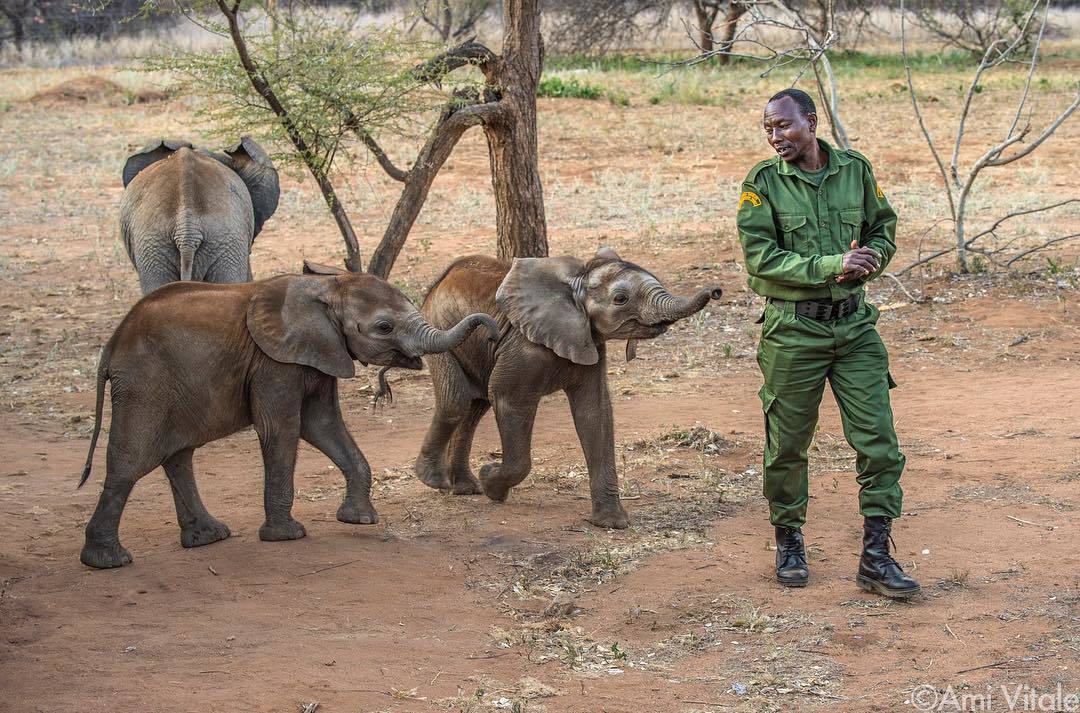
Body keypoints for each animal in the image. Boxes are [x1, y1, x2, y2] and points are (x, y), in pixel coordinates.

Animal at [78, 270, 498, 570]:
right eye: (384, 327)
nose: (494, 332)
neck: (327, 286)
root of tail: (110, 347)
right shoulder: (274, 362)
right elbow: (282, 428)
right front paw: (288, 536)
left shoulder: (320, 352)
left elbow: (323, 425)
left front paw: (359, 520)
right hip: (145, 385)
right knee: (129, 464)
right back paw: (108, 561)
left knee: (178, 456)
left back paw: (209, 537)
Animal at [416, 247, 721, 527]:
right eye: (621, 299)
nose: (716, 290)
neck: (577, 282)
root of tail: (440, 280)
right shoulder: (524, 348)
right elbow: (507, 398)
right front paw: (491, 481)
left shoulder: (590, 341)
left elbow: (595, 412)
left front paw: (611, 524)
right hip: (438, 326)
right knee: (457, 399)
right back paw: (439, 481)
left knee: (475, 405)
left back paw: (466, 489)